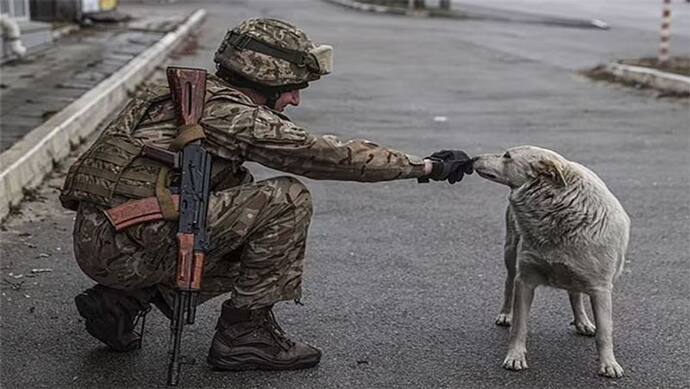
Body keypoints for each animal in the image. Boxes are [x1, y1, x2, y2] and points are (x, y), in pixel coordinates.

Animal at [472, 145, 628, 376]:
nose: (473, 157)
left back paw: (583, 322)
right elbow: (519, 326)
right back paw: (505, 314)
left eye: (507, 156)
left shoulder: (601, 288)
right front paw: (515, 357)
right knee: (509, 283)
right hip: (510, 252)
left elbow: (604, 332)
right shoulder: (525, 280)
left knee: (575, 293)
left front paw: (609, 364)